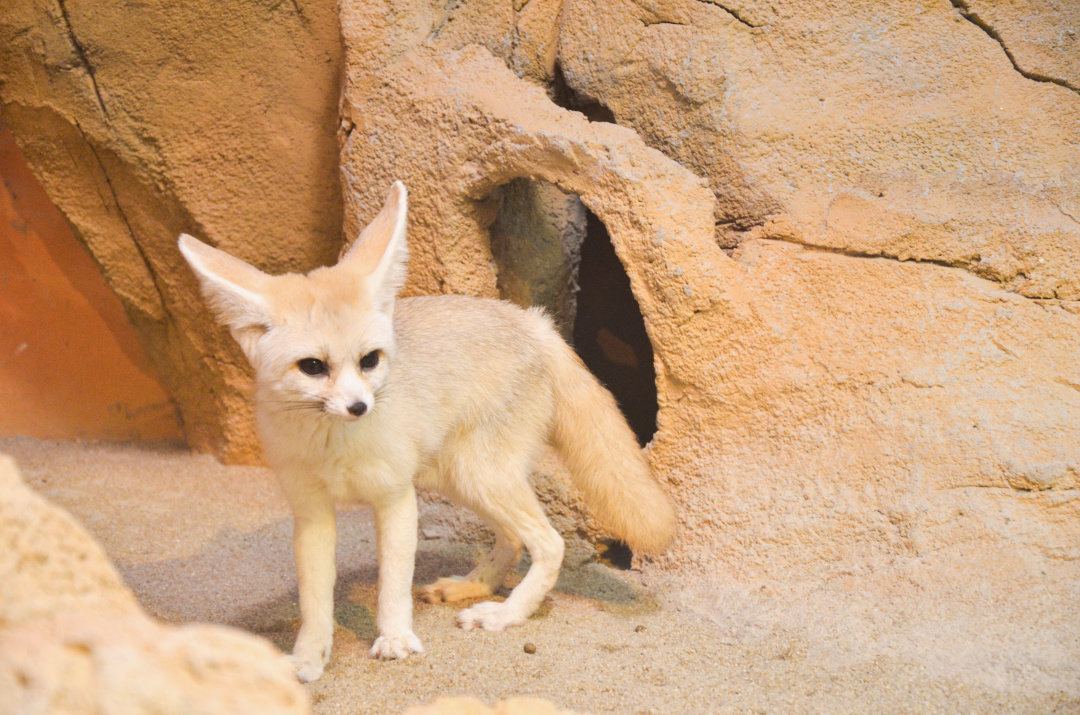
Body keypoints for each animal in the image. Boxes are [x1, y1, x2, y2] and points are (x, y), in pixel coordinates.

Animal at [178, 181, 676, 682]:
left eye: (369, 360)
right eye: (313, 367)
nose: (359, 407)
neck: (337, 445)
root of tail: (532, 320)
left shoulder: (396, 498)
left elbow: (393, 582)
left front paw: (395, 638)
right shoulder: (312, 513)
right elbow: (314, 599)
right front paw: (307, 658)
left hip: (478, 476)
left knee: (549, 543)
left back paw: (506, 613)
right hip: (460, 479)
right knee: (514, 539)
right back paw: (474, 586)